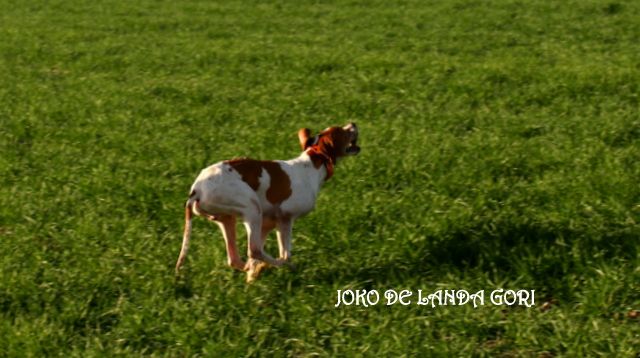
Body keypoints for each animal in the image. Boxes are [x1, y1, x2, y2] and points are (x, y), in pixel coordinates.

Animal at [175, 123, 360, 282]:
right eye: (341, 131)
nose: (353, 124)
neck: (312, 164)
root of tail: (196, 190)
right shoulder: (286, 219)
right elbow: (284, 253)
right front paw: (271, 267)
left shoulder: (268, 224)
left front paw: (253, 275)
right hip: (252, 208)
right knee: (256, 251)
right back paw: (276, 265)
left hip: (228, 218)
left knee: (236, 258)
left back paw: (253, 268)